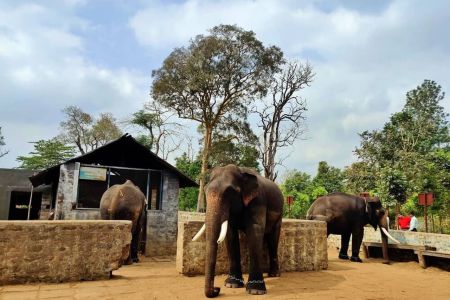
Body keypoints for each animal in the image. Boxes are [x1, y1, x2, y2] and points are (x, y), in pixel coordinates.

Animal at [192, 164, 284, 298]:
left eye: (230, 192)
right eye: (205, 190)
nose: (217, 289)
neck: (241, 172)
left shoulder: (258, 201)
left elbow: (255, 231)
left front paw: (255, 291)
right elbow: (230, 235)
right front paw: (232, 284)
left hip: (279, 214)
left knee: (273, 240)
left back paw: (274, 274)